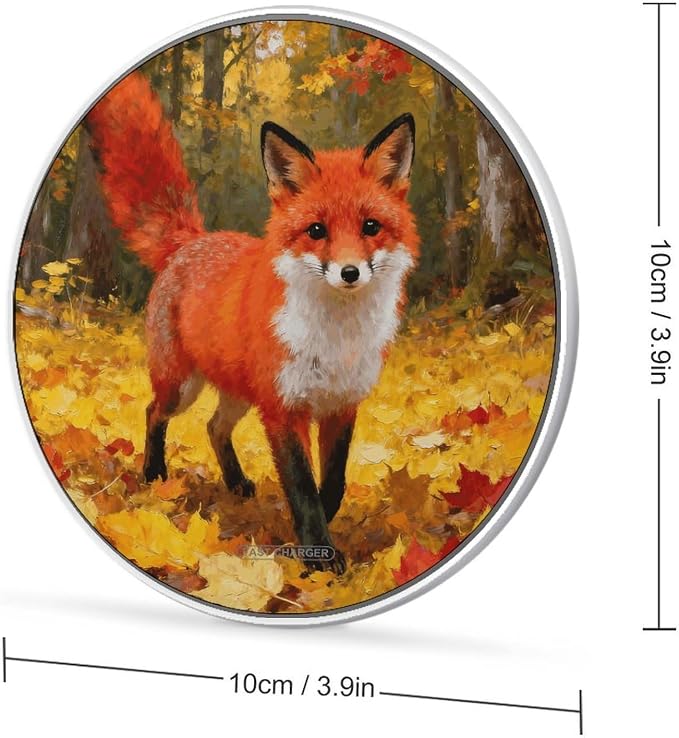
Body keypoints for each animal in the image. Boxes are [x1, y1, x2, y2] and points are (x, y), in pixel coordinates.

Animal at [85, 71, 420, 574]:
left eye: (371, 226)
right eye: (317, 230)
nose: (349, 272)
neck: (336, 339)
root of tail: (192, 240)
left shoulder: (341, 405)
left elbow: (332, 485)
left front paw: (313, 537)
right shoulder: (283, 408)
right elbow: (303, 489)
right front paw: (320, 558)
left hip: (239, 393)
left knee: (213, 427)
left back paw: (237, 484)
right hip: (183, 385)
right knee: (153, 412)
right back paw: (155, 474)